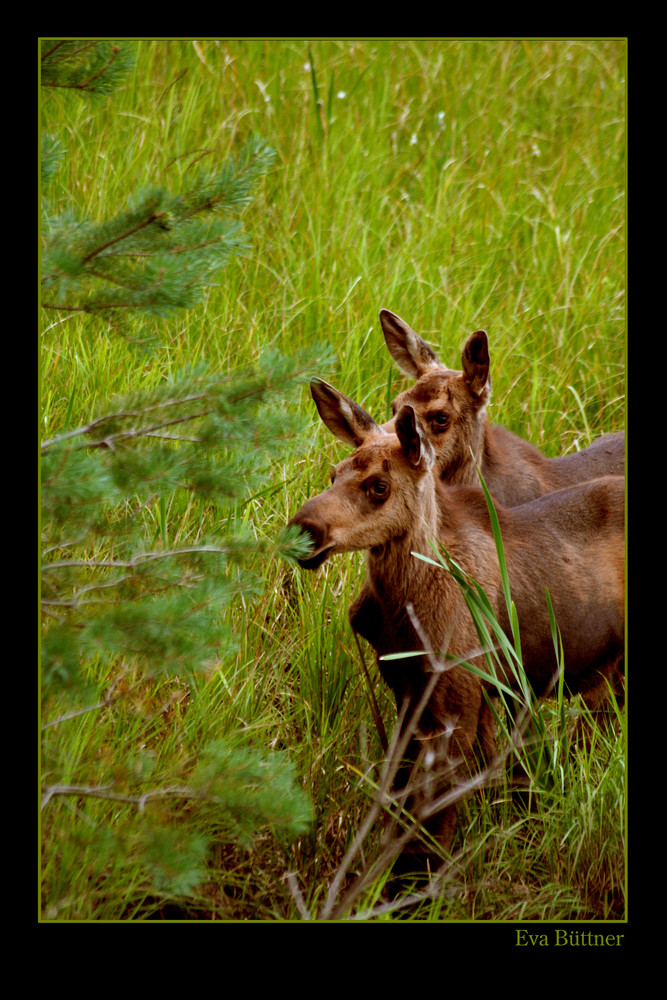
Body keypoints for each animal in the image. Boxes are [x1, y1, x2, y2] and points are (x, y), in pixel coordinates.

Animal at [288, 378, 628, 880]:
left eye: (378, 487)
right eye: (333, 475)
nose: (302, 530)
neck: (404, 605)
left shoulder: (456, 698)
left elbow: (432, 825)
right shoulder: (411, 690)